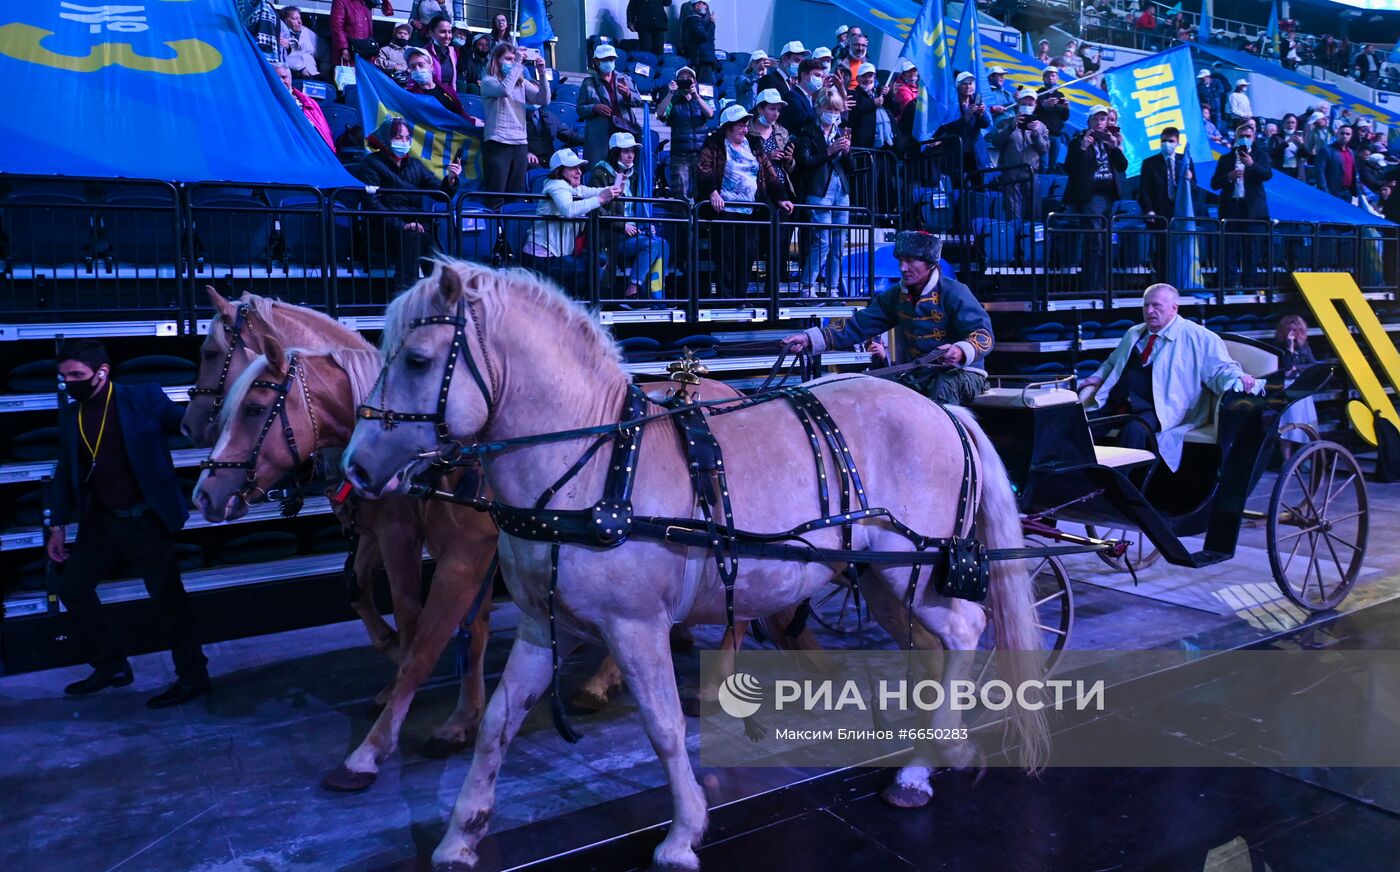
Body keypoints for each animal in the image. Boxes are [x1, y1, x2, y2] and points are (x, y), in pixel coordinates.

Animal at [341, 260, 1052, 872]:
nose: (356, 468)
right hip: (879, 576)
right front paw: (461, 834)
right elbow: (497, 723)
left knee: (964, 629)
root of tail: (942, 411)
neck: (593, 465)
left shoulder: (635, 627)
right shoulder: (549, 627)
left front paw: (683, 832)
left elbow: (663, 726)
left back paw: (929, 757)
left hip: (913, 568)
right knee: (929, 644)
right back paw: (924, 755)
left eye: (418, 359)